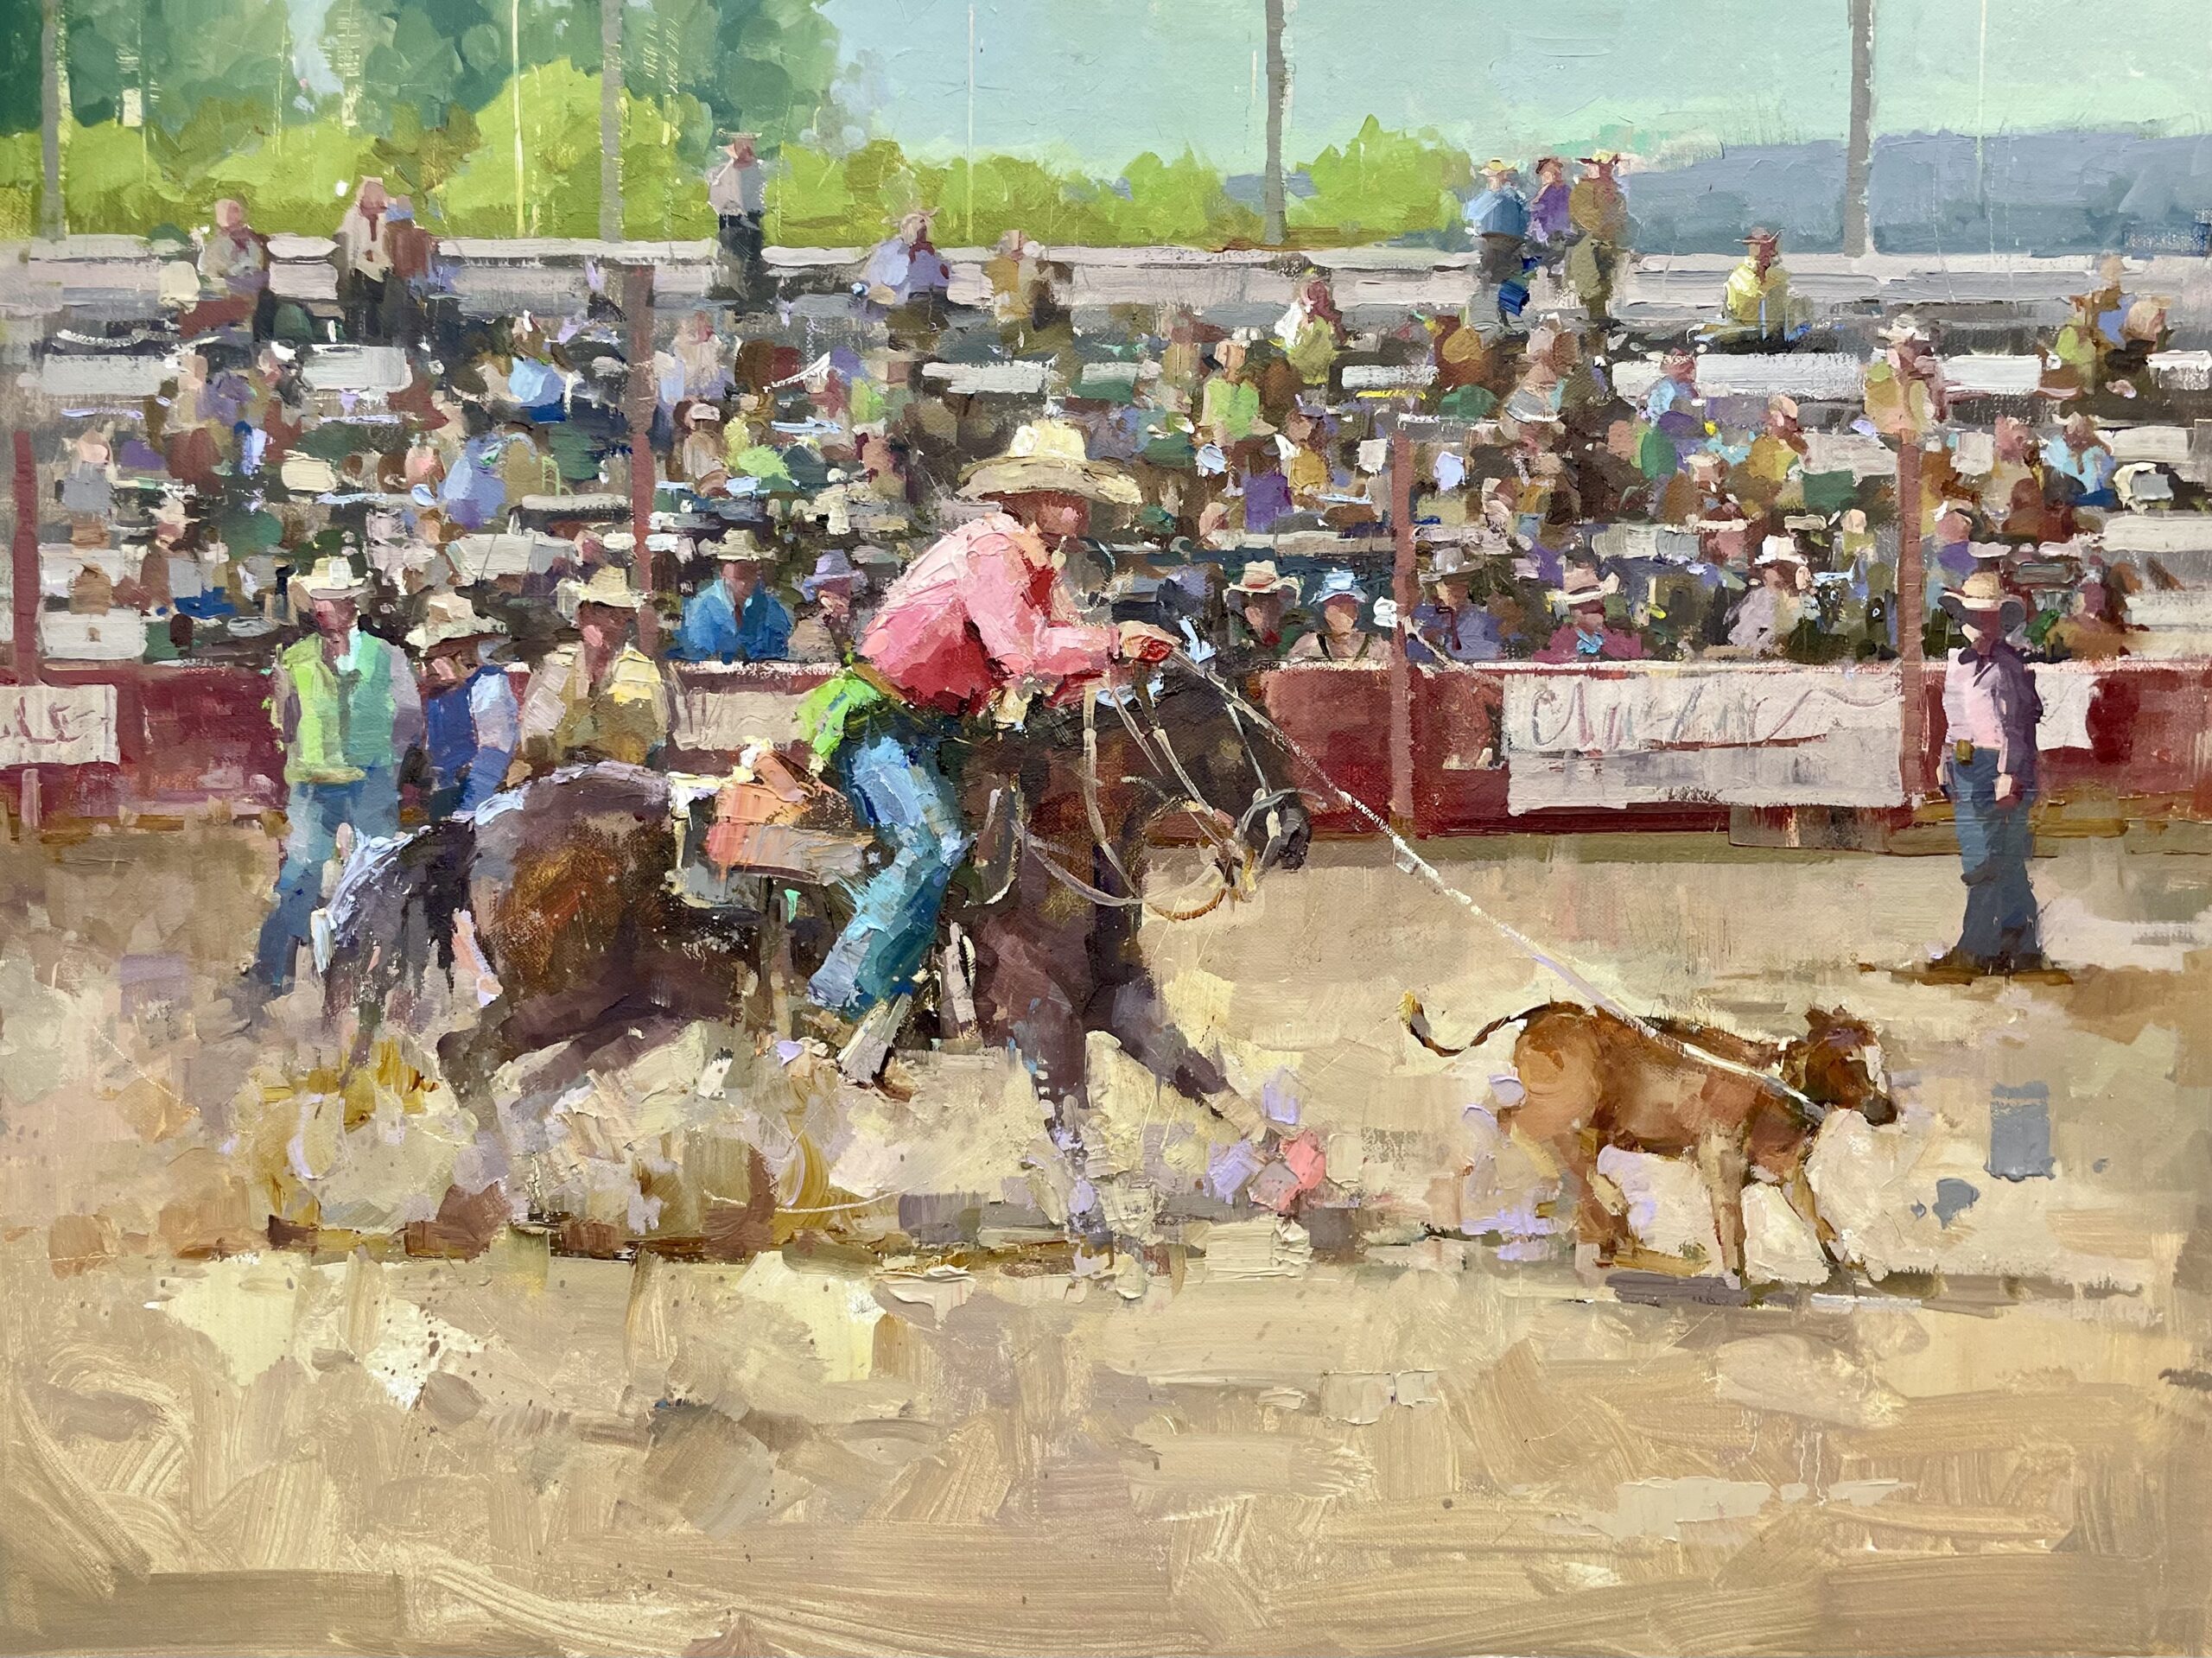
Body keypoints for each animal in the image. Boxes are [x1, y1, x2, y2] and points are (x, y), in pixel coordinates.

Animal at [1407, 999, 1893, 1282]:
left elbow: (1820, 1219)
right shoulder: (1719, 1161)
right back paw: (1605, 1209)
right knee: (1515, 1122)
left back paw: (1611, 1224)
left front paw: (1852, 1264)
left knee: (1569, 1153)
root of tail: (1552, 1008)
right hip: (1566, 1102)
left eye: (1879, 1059)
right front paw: (1737, 1278)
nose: (1889, 1110)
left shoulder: (1789, 1172)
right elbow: (1732, 1225)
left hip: (1592, 1119)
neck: (1779, 1088)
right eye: (1850, 1061)